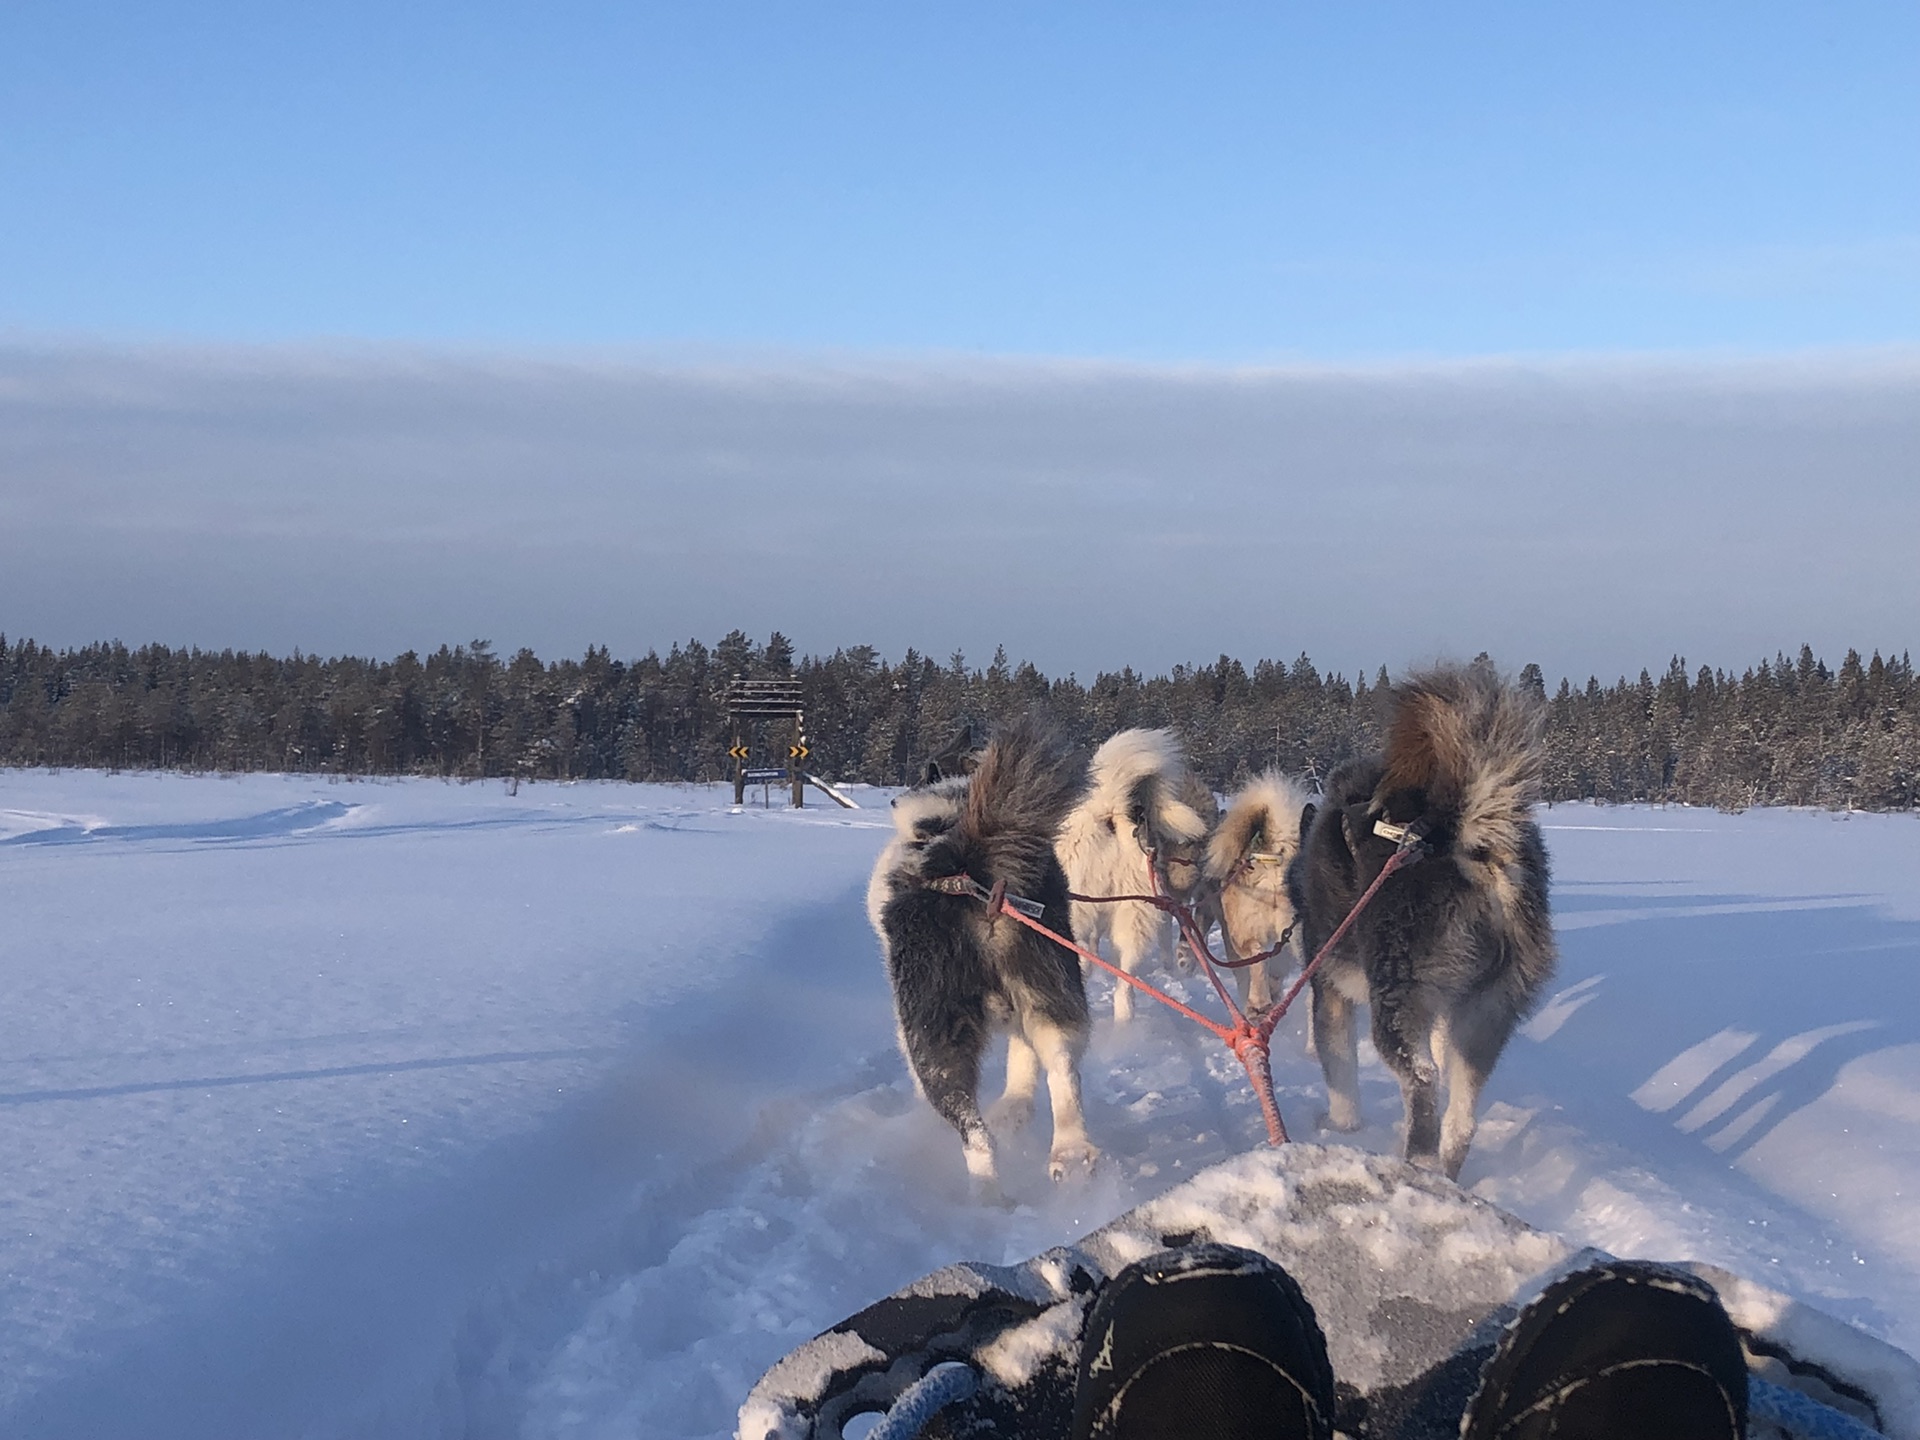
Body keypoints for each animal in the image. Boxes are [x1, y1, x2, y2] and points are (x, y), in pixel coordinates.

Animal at [867, 721, 1098, 1198]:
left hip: (935, 1036)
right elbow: (1024, 1062)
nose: (895, 799)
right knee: (1063, 1067)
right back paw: (1071, 1152)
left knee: (974, 1133)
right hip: (1052, 991)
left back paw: (986, 1196)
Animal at [1282, 664, 1551, 1182]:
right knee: (1462, 1115)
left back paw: (1420, 1164)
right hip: (1485, 1013)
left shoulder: (1329, 990)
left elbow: (1339, 1067)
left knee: (1423, 1081)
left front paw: (1342, 1124)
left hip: (1397, 1002)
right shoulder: (1444, 1012)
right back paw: (1445, 1171)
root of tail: (1471, 847)